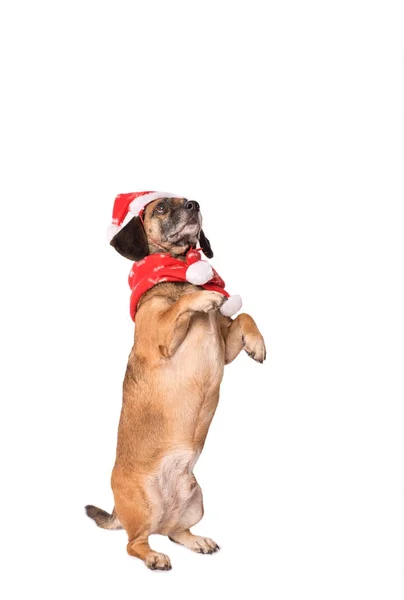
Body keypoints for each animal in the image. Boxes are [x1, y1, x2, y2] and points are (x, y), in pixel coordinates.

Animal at [86, 197, 266, 572]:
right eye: (161, 208)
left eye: (187, 199)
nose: (194, 204)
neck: (180, 269)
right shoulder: (162, 337)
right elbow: (180, 305)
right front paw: (202, 298)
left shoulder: (225, 345)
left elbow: (243, 315)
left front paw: (257, 344)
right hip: (143, 504)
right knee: (134, 543)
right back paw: (154, 556)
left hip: (195, 497)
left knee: (174, 531)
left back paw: (197, 540)